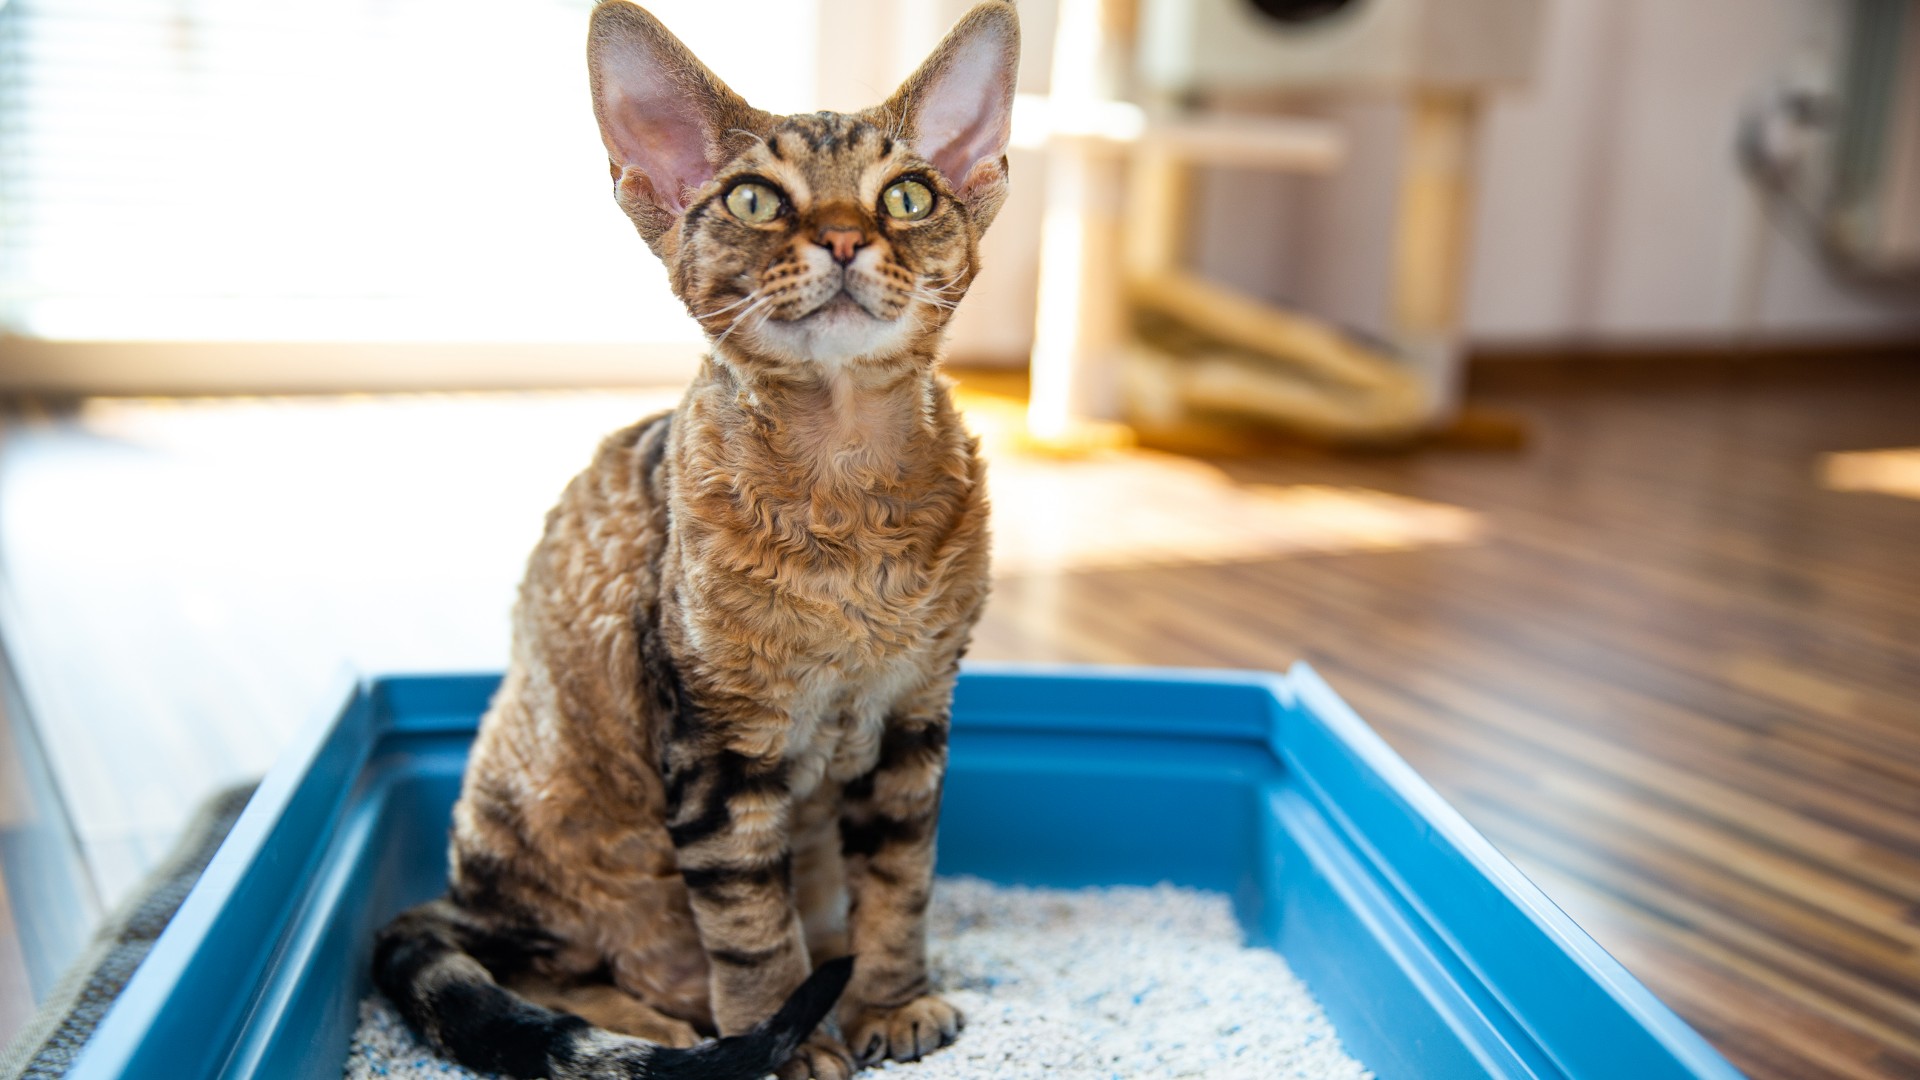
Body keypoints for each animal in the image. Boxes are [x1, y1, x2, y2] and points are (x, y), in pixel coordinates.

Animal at [362, 2, 1021, 1076]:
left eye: (909, 195)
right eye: (755, 200)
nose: (846, 238)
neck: (850, 508)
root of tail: (455, 892)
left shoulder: (914, 717)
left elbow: (901, 883)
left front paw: (892, 1002)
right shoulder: (716, 744)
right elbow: (750, 927)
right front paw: (782, 1040)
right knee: (542, 964)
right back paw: (664, 1025)